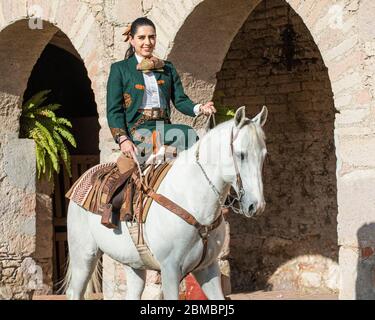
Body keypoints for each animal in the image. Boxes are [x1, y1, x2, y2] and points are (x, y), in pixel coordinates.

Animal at [66, 105, 268, 300]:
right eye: (241, 154)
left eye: (264, 155)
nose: (257, 206)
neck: (192, 199)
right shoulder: (170, 269)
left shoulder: (207, 268)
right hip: (83, 256)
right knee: (75, 292)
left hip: (132, 263)